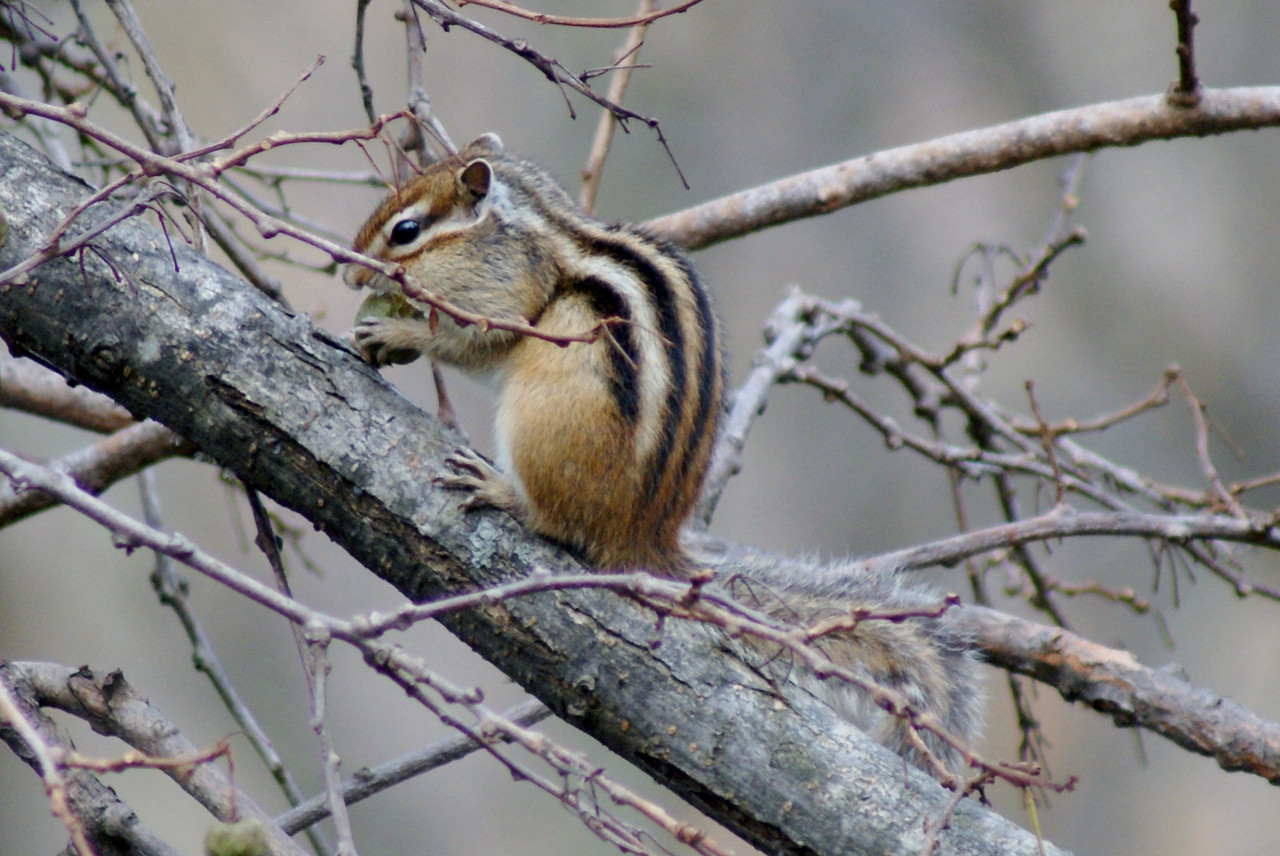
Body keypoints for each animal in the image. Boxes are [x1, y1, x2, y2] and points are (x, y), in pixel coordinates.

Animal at [344, 133, 981, 775]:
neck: (526, 228)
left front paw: (399, 334)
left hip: (541, 418)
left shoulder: (505, 292)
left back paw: (501, 489)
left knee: (557, 520)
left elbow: (479, 340)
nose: (347, 271)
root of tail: (640, 537)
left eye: (405, 231)